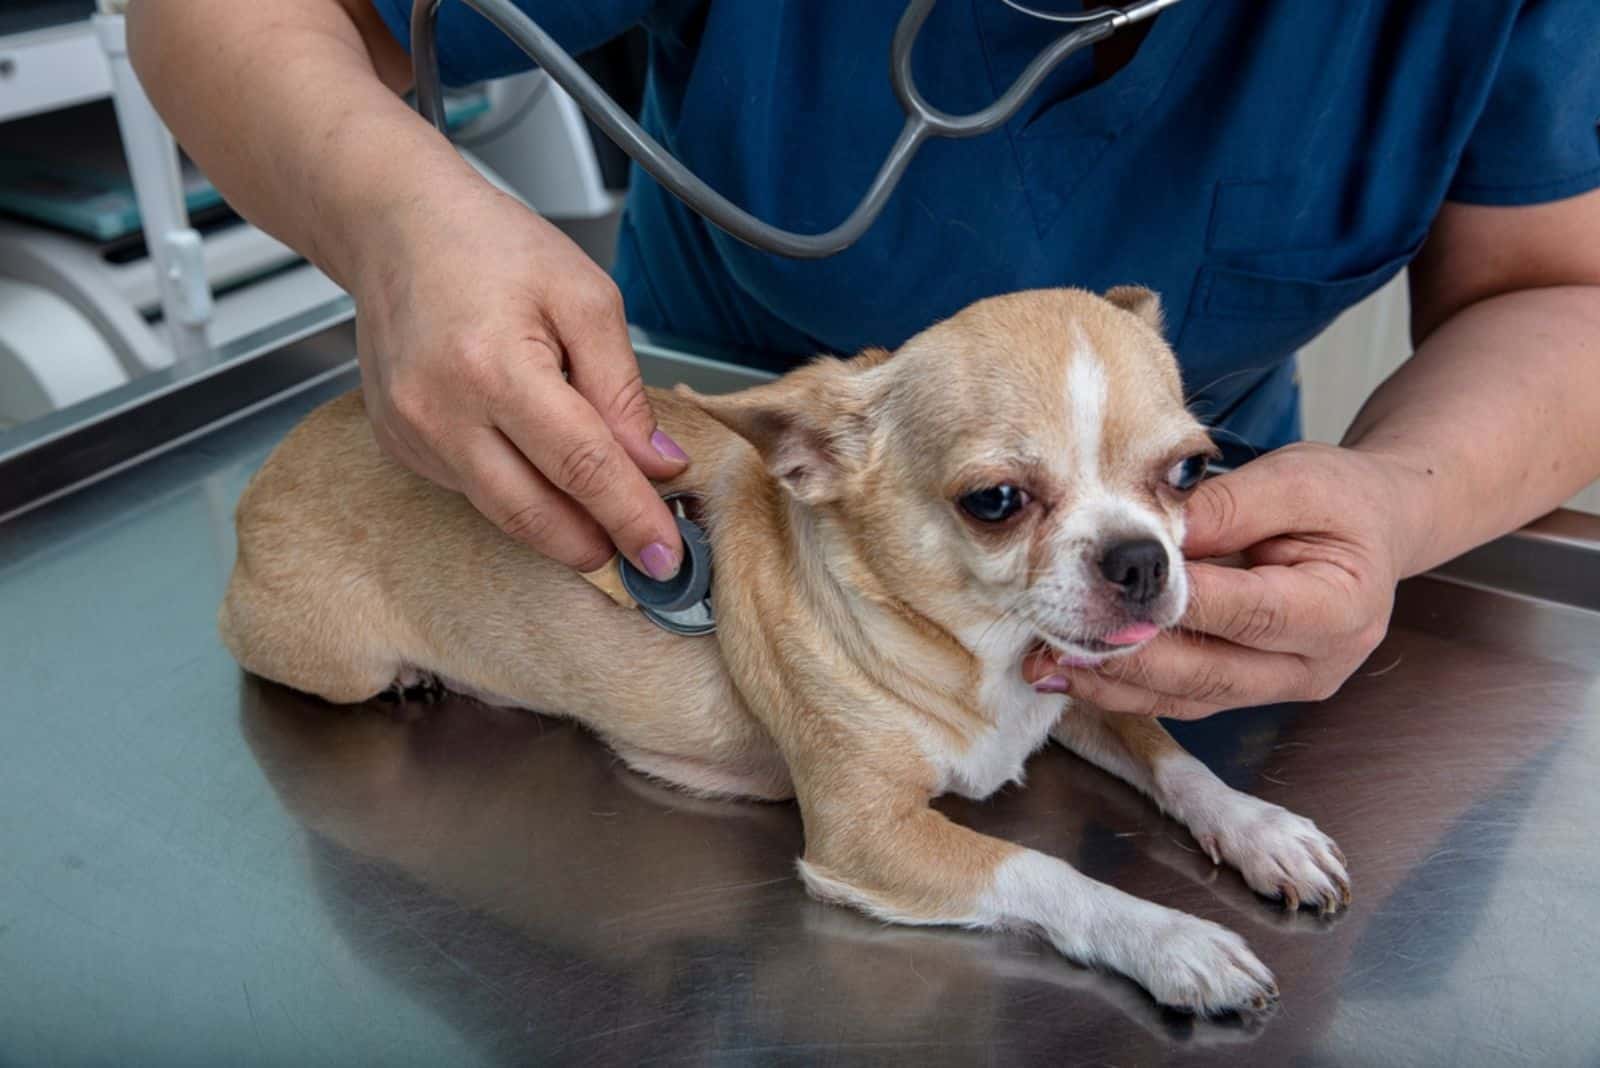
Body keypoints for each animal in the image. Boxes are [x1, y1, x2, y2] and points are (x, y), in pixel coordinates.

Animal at [222, 287, 1350, 1016]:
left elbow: (1170, 751)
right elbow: (1041, 870)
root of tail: (279, 455)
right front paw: (1171, 940)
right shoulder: (866, 839)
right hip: (325, 654)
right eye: (994, 502)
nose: (1140, 558)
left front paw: (1262, 830)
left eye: (1189, 472)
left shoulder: (1074, 690)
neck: (978, 657)